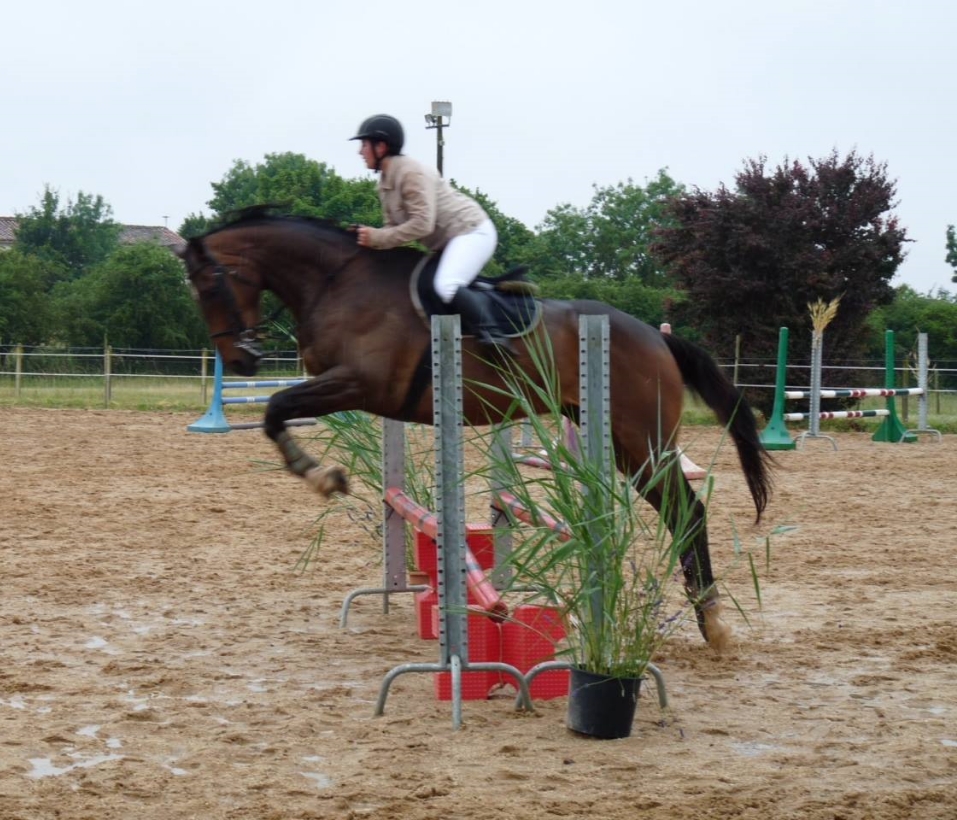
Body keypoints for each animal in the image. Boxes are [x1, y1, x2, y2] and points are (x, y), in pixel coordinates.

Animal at [174, 208, 768, 652]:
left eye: (208, 284)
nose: (241, 360)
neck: (337, 281)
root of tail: (657, 337)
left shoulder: (357, 382)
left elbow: (277, 407)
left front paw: (319, 475)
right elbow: (277, 411)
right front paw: (320, 473)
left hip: (643, 440)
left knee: (688, 510)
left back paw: (713, 621)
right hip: (622, 444)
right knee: (676, 511)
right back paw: (706, 617)